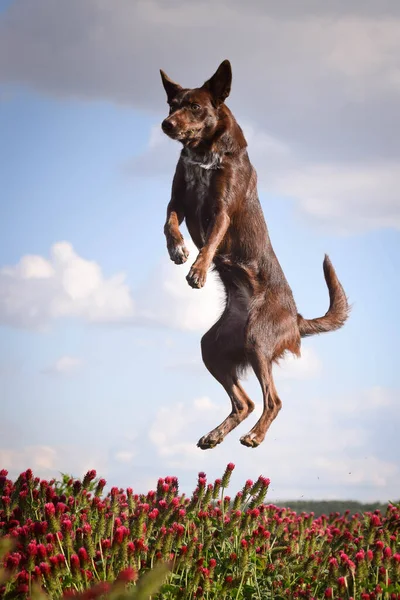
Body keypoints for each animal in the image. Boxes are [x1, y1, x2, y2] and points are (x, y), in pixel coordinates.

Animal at [160, 61, 350, 450]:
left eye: (195, 107)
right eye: (172, 104)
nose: (166, 124)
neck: (204, 153)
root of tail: (296, 319)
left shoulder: (221, 211)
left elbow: (211, 243)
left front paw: (198, 270)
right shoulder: (178, 201)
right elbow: (167, 224)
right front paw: (178, 250)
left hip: (258, 340)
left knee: (273, 401)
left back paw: (255, 436)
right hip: (213, 346)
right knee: (245, 402)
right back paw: (215, 435)